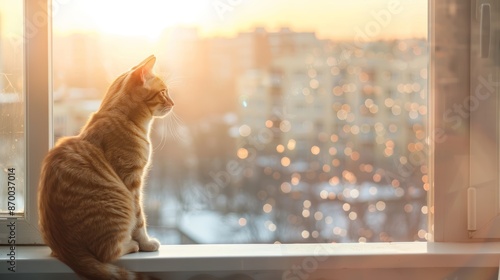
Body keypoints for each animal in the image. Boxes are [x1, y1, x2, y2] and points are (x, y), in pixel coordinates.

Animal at [38, 55, 173, 278]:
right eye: (163, 92)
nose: (173, 103)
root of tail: (67, 252)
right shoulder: (132, 182)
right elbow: (140, 219)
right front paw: (146, 243)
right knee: (108, 252)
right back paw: (132, 244)